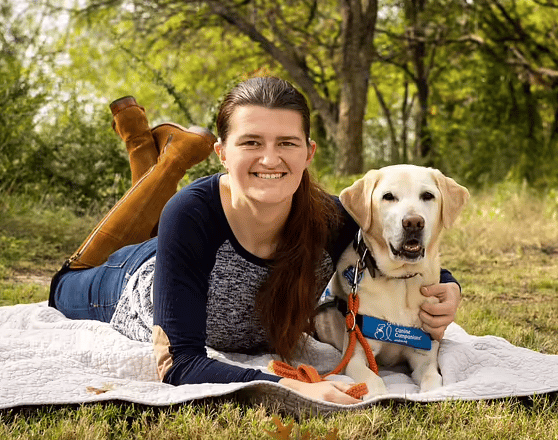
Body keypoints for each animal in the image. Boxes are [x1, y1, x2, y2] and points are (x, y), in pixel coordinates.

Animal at [318, 164, 470, 398]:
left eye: (428, 196)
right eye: (388, 197)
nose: (413, 222)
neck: (401, 281)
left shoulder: (424, 356)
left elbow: (432, 379)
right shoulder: (355, 355)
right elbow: (372, 379)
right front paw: (377, 394)